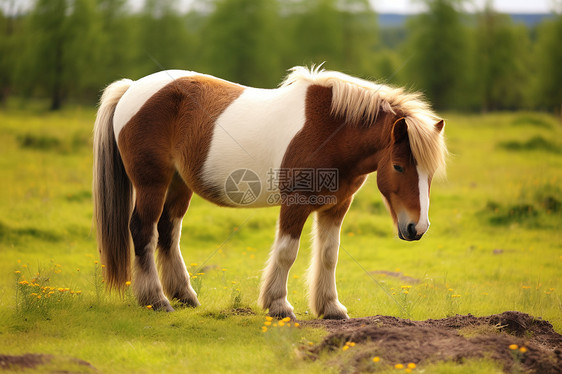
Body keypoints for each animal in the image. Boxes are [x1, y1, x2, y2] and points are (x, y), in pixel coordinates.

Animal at [93, 66, 446, 318]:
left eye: (430, 173)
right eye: (399, 166)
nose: (417, 228)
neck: (331, 130)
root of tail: (131, 88)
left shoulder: (337, 206)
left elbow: (329, 255)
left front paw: (331, 308)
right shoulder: (296, 203)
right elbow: (288, 252)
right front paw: (278, 305)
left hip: (179, 185)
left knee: (168, 231)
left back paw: (184, 295)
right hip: (152, 183)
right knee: (144, 231)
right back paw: (156, 299)